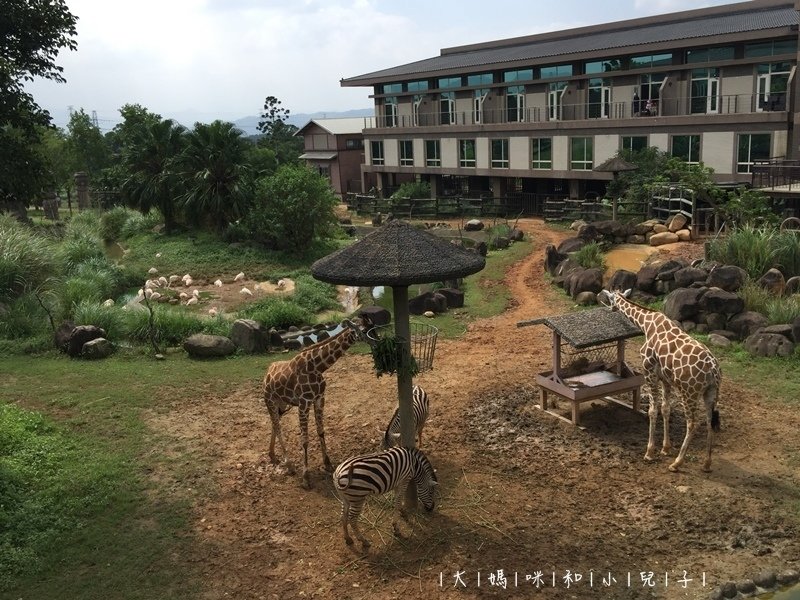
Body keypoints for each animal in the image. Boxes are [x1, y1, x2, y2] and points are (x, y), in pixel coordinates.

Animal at [264, 318, 374, 488]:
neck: (317, 367)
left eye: (372, 326)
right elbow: (304, 439)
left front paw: (328, 464)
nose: (376, 341)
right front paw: (306, 478)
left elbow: (321, 431)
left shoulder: (319, 398)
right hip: (270, 401)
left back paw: (273, 456)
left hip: (281, 404)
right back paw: (289, 465)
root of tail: (267, 373)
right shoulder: (304, 402)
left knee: (274, 424)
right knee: (278, 426)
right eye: (363, 330)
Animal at [596, 290, 720, 474]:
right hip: (711, 392)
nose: (611, 308)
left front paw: (649, 452)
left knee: (692, 423)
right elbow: (665, 409)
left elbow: (653, 411)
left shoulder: (649, 373)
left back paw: (677, 463)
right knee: (709, 421)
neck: (646, 324)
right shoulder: (665, 379)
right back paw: (706, 463)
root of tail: (713, 369)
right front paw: (665, 448)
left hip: (689, 392)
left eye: (610, 298)